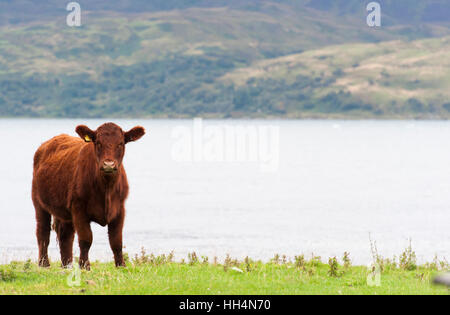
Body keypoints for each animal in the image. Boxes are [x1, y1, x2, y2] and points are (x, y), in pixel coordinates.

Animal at [31, 122, 144, 270]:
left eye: (120, 143)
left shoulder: (119, 209)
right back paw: (44, 264)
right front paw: (85, 266)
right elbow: (86, 239)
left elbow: (116, 241)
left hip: (65, 211)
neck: (106, 188)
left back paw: (67, 265)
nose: (108, 164)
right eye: (98, 143)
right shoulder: (79, 208)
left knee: (65, 235)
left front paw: (121, 265)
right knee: (43, 232)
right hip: (39, 202)